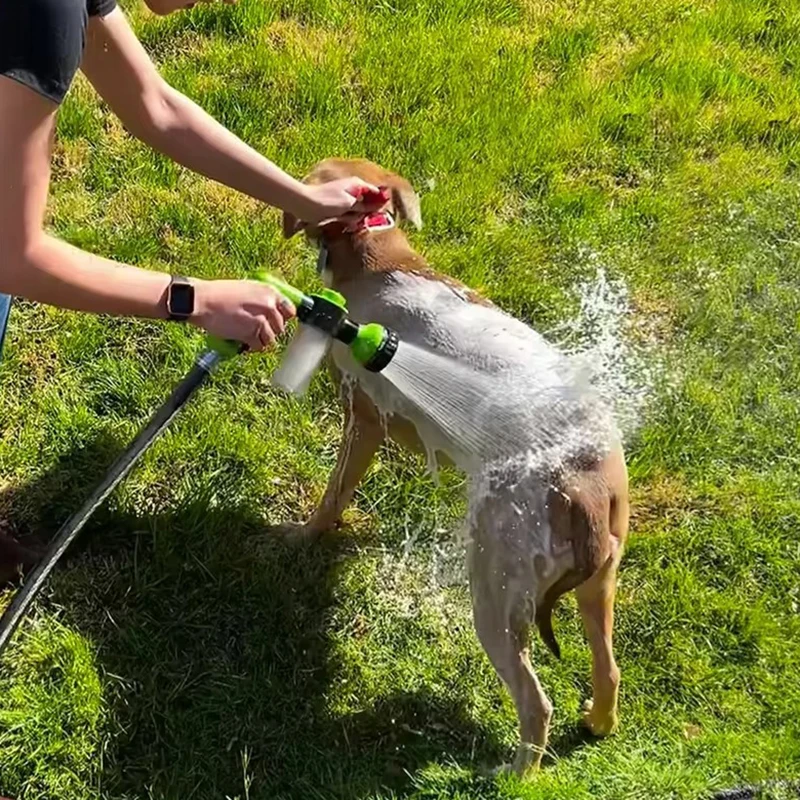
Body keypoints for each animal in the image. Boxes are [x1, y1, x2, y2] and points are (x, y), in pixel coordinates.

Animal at [282, 156, 632, 776]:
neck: (380, 258)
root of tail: (586, 492)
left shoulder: (363, 419)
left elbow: (332, 497)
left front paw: (301, 536)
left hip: (496, 594)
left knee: (535, 702)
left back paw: (514, 775)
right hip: (600, 582)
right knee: (609, 668)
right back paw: (596, 722)